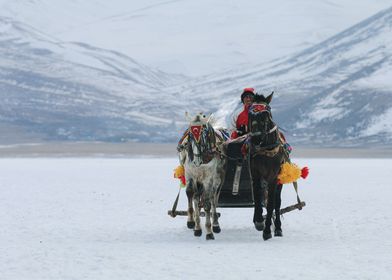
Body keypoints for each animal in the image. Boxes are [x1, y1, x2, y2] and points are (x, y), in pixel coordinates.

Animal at [178, 112, 227, 240]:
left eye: (203, 133)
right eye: (190, 134)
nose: (196, 161)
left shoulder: (208, 178)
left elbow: (207, 203)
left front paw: (209, 231)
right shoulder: (190, 174)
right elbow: (191, 194)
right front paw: (194, 224)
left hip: (218, 178)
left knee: (213, 198)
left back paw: (216, 224)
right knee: (196, 197)